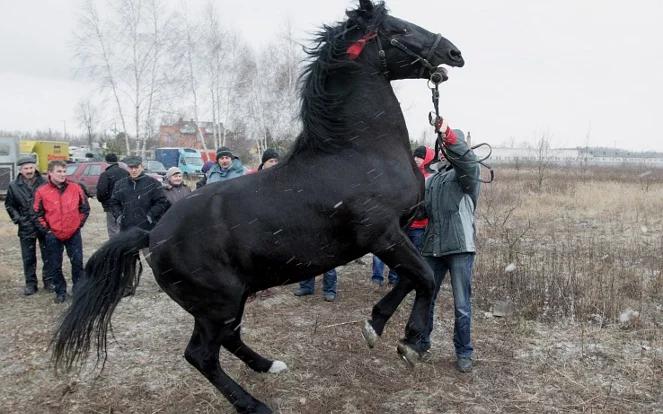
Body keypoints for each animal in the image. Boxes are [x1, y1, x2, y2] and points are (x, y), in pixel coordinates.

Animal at [52, 1, 464, 412]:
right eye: (399, 29)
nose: (454, 53)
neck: (360, 152)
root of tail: (153, 234)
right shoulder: (383, 234)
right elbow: (425, 278)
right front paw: (410, 343)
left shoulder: (394, 236)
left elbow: (414, 277)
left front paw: (375, 326)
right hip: (218, 304)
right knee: (201, 355)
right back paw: (254, 404)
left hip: (231, 299)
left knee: (229, 341)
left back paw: (269, 365)